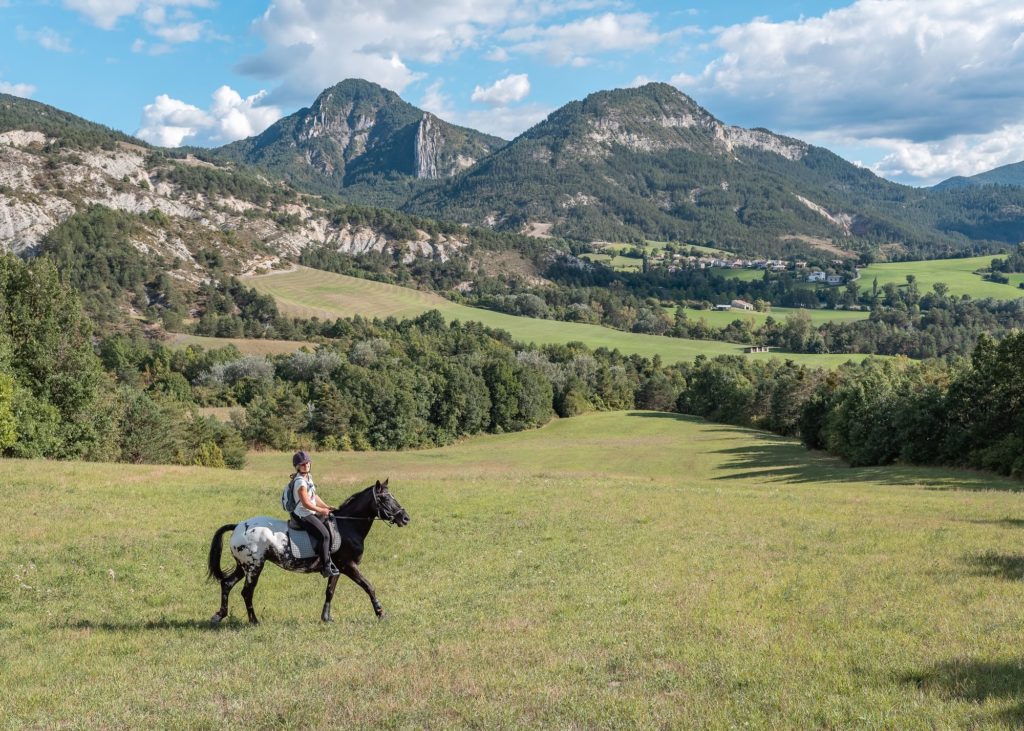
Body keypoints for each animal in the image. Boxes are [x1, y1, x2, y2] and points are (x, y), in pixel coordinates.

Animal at [205, 475, 409, 622]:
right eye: (384, 498)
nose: (405, 518)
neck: (347, 526)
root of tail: (239, 526)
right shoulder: (348, 565)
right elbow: (369, 586)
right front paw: (381, 613)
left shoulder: (337, 569)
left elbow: (330, 591)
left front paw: (326, 618)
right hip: (254, 566)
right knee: (246, 592)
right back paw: (254, 621)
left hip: (243, 566)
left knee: (227, 584)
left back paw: (219, 615)